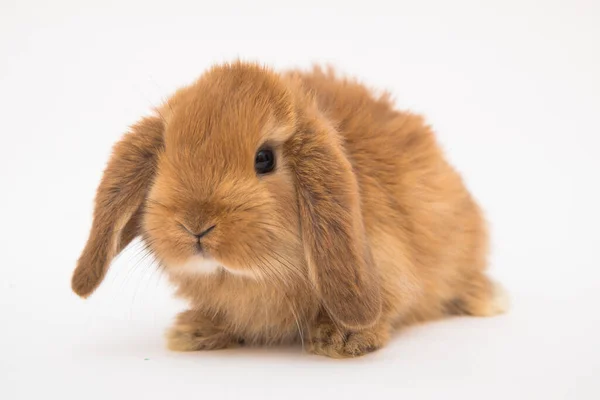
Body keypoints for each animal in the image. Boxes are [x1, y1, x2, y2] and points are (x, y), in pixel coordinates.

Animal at [72, 61, 508, 358]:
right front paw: (193, 331)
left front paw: (341, 338)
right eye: (165, 154)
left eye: (264, 159)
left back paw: (487, 298)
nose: (195, 224)